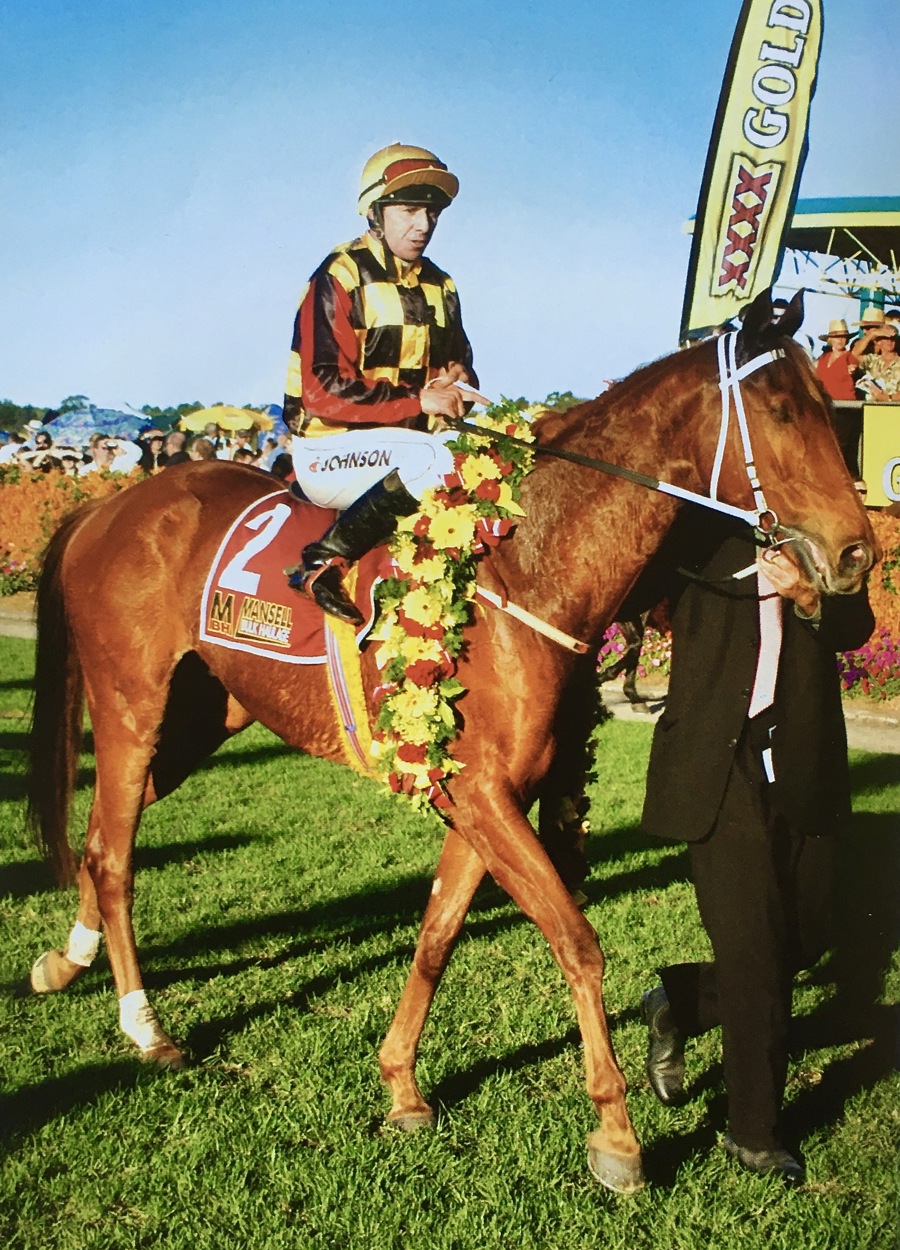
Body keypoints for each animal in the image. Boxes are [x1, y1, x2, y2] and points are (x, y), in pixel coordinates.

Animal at [25, 290, 877, 1194]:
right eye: (783, 412)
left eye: (829, 411)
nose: (859, 550)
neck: (523, 564)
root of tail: (107, 506)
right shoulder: (482, 794)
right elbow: (578, 943)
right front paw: (616, 1135)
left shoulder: (478, 796)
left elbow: (436, 937)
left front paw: (401, 1085)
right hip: (130, 706)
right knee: (117, 856)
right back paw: (144, 1025)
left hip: (204, 715)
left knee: (100, 835)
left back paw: (66, 960)